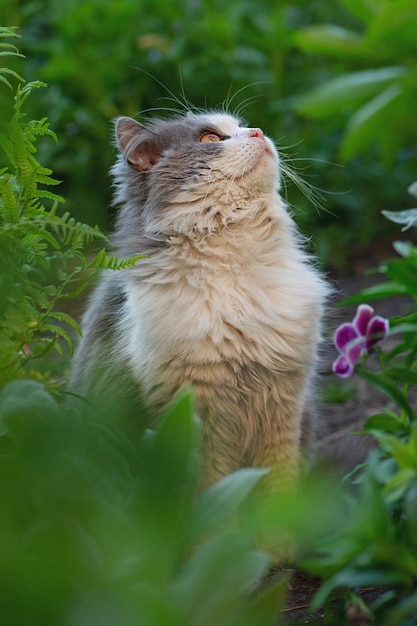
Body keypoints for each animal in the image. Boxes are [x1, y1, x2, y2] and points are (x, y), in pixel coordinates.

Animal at [70, 111, 328, 492]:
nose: (259, 132)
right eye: (210, 139)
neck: (236, 270)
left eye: (242, 127)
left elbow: (278, 490)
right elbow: (210, 491)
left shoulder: (283, 406)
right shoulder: (198, 416)